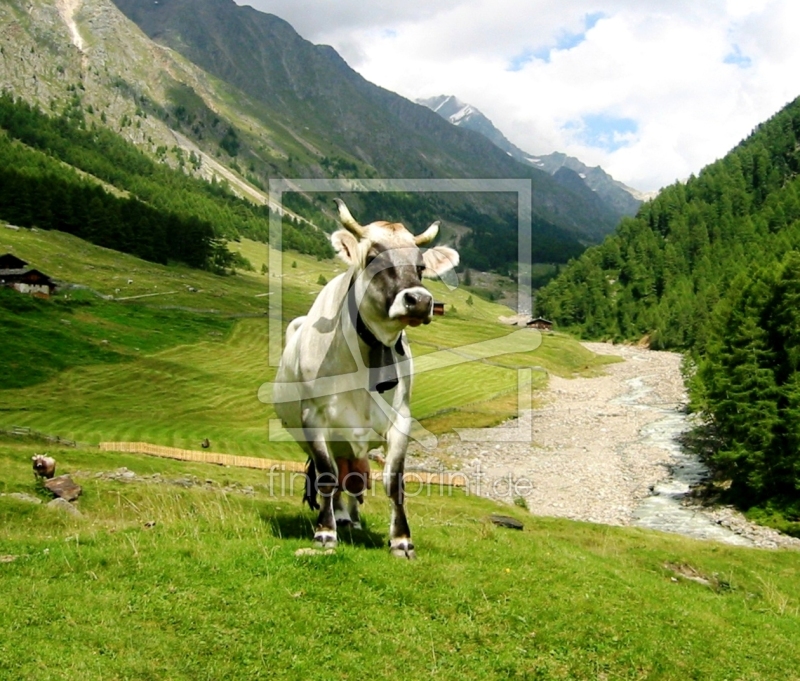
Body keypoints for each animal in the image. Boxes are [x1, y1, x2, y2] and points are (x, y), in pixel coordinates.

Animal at [276, 198, 460, 556]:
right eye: (373, 257)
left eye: (421, 267)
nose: (420, 301)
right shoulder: (314, 418)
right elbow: (326, 476)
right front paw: (324, 532)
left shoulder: (401, 418)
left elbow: (394, 480)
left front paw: (401, 539)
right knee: (335, 476)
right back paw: (336, 517)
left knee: (353, 477)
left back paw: (350, 518)